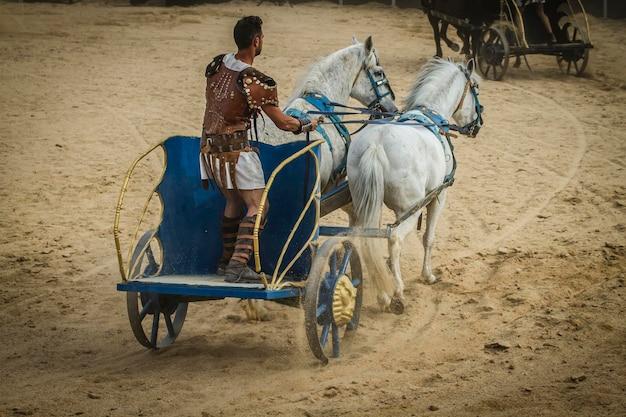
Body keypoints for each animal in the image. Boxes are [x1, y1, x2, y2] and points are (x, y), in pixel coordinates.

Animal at [346, 58, 482, 312]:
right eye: (476, 87)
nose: (477, 126)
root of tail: (376, 145)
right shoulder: (438, 197)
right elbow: (429, 237)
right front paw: (427, 275)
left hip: (368, 204)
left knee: (369, 239)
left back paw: (382, 292)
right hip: (409, 209)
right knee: (394, 239)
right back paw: (397, 291)